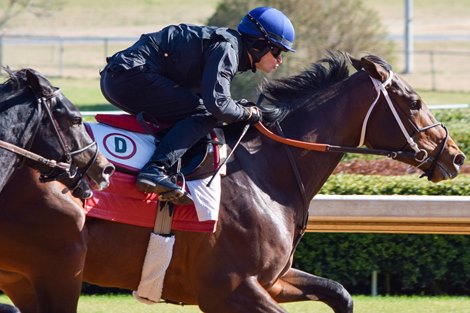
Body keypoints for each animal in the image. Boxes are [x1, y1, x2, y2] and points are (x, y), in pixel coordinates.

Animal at [0, 52, 462, 310]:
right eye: (414, 102)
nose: (455, 155)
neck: (268, 175)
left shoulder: (271, 280)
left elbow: (340, 293)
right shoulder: (230, 289)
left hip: (24, 276)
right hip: (58, 270)